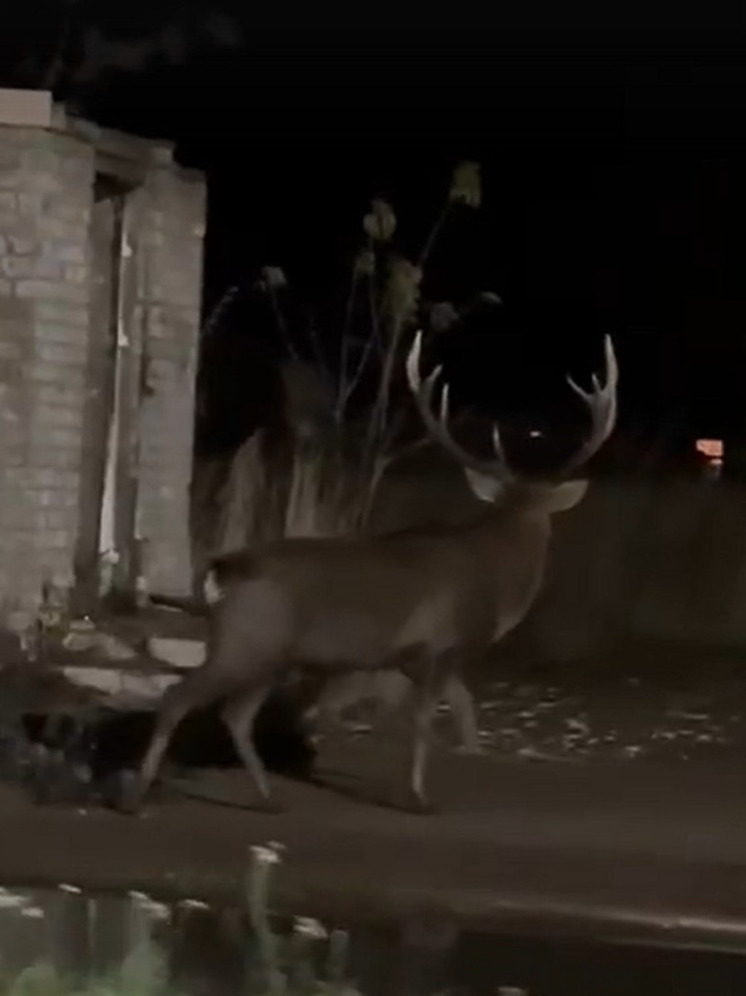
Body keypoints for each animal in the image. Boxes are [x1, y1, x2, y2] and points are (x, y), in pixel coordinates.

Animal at [116, 330, 616, 812]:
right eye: (546, 520)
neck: (496, 570)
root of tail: (225, 566)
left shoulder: (398, 658)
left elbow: (433, 711)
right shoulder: (445, 644)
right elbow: (421, 719)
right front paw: (419, 798)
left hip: (269, 653)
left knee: (234, 715)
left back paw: (266, 798)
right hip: (246, 641)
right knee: (178, 699)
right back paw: (137, 794)